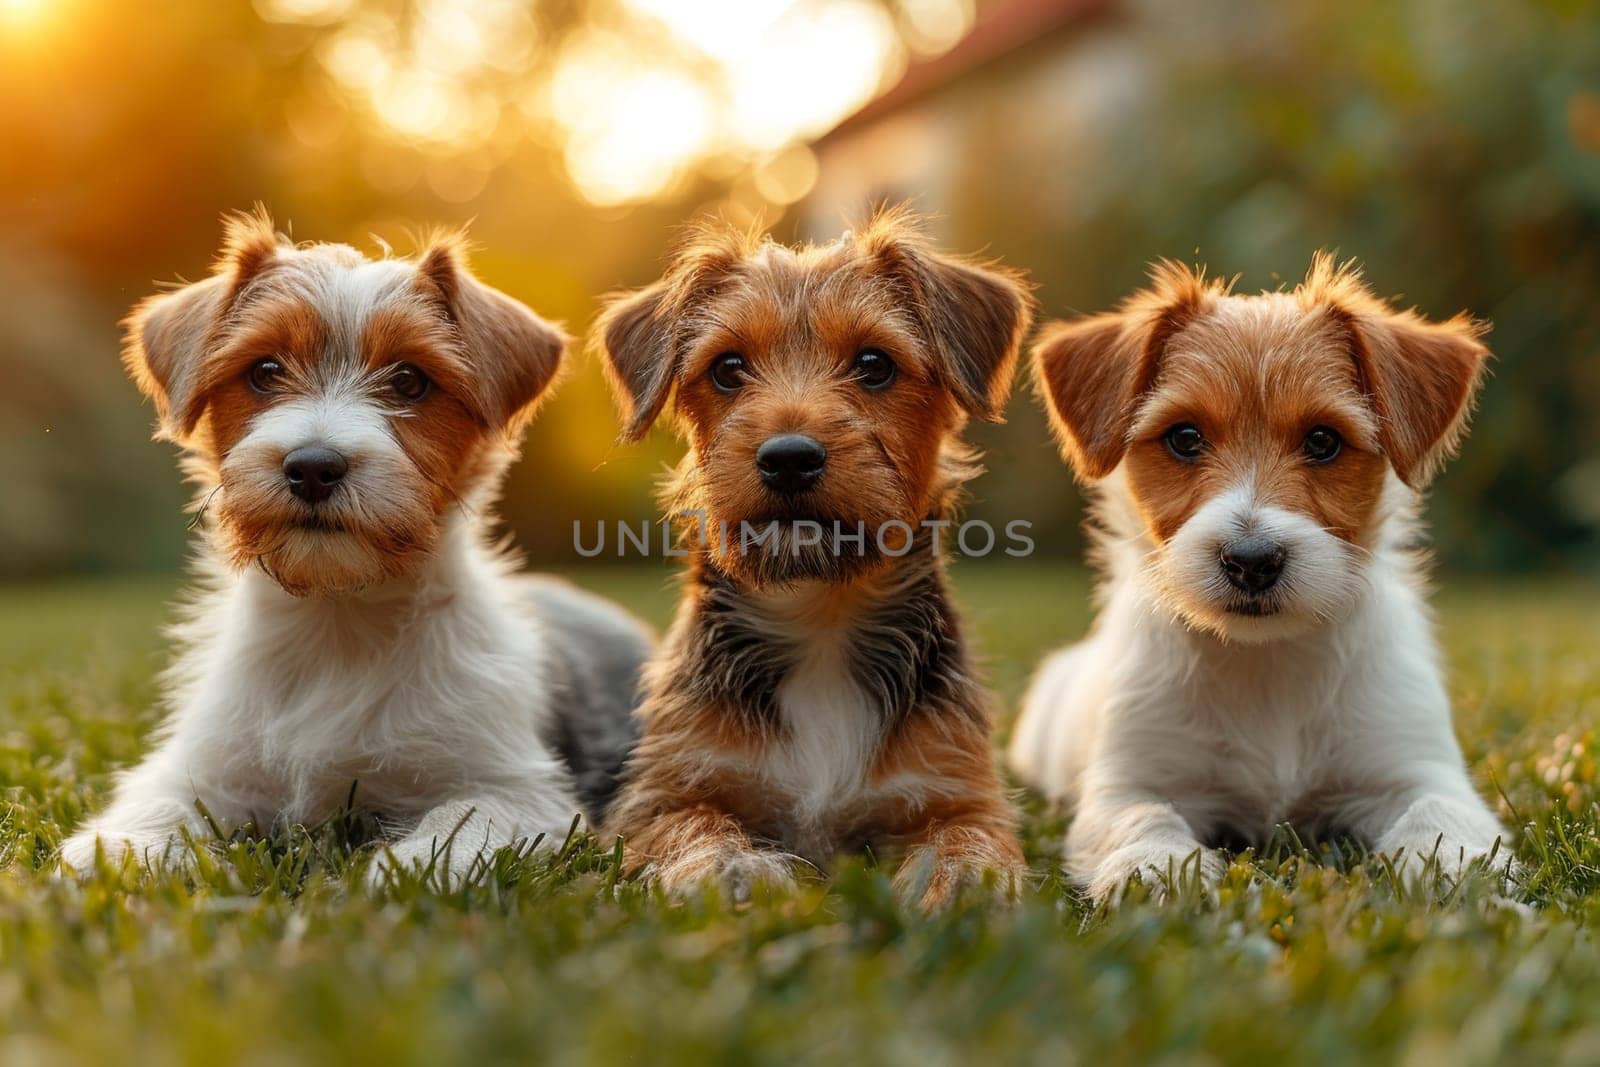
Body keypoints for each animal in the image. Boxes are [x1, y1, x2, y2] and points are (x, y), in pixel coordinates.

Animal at [58, 207, 649, 883]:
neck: (338, 618)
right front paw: (116, 853)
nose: (313, 467)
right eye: (265, 371)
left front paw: (412, 868)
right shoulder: (202, 767)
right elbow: (157, 806)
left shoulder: (517, 788)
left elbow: (463, 821)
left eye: (410, 381)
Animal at [595, 207, 1030, 908]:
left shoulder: (961, 791)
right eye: (727, 368)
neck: (819, 616)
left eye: (875, 364)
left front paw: (964, 878)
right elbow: (693, 825)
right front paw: (729, 867)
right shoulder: (660, 797)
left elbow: (970, 836)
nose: (789, 457)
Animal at [1011, 255, 1510, 902]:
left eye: (1323, 440)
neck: (1265, 663)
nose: (1251, 560)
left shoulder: (1416, 769)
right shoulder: (1127, 782)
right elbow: (1142, 817)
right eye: (1184, 437)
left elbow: (1441, 813)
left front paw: (1453, 868)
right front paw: (1155, 868)